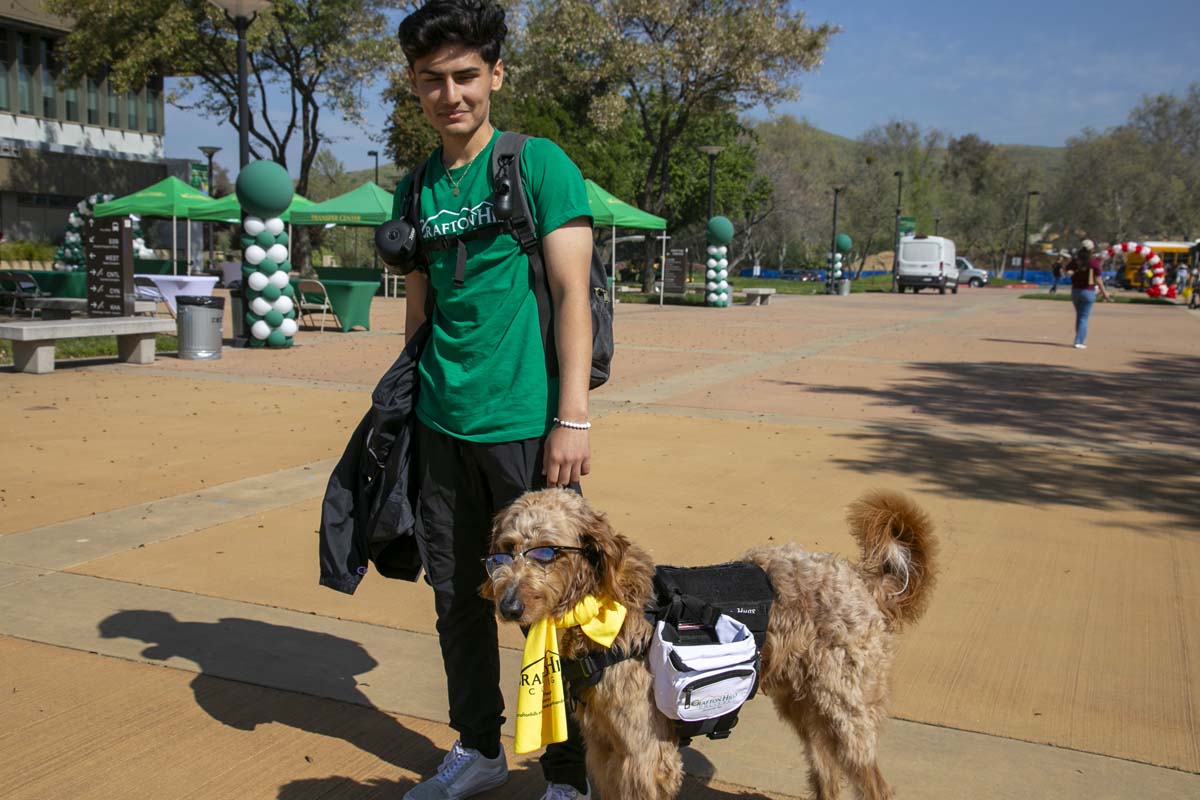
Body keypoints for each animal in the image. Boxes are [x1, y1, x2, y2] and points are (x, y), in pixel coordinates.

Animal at [484, 489, 936, 800]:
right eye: (504, 552)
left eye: (546, 552)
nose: (508, 606)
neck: (598, 608)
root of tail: (858, 577)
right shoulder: (605, 749)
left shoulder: (645, 755)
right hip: (805, 709)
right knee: (825, 775)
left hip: (847, 714)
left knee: (875, 786)